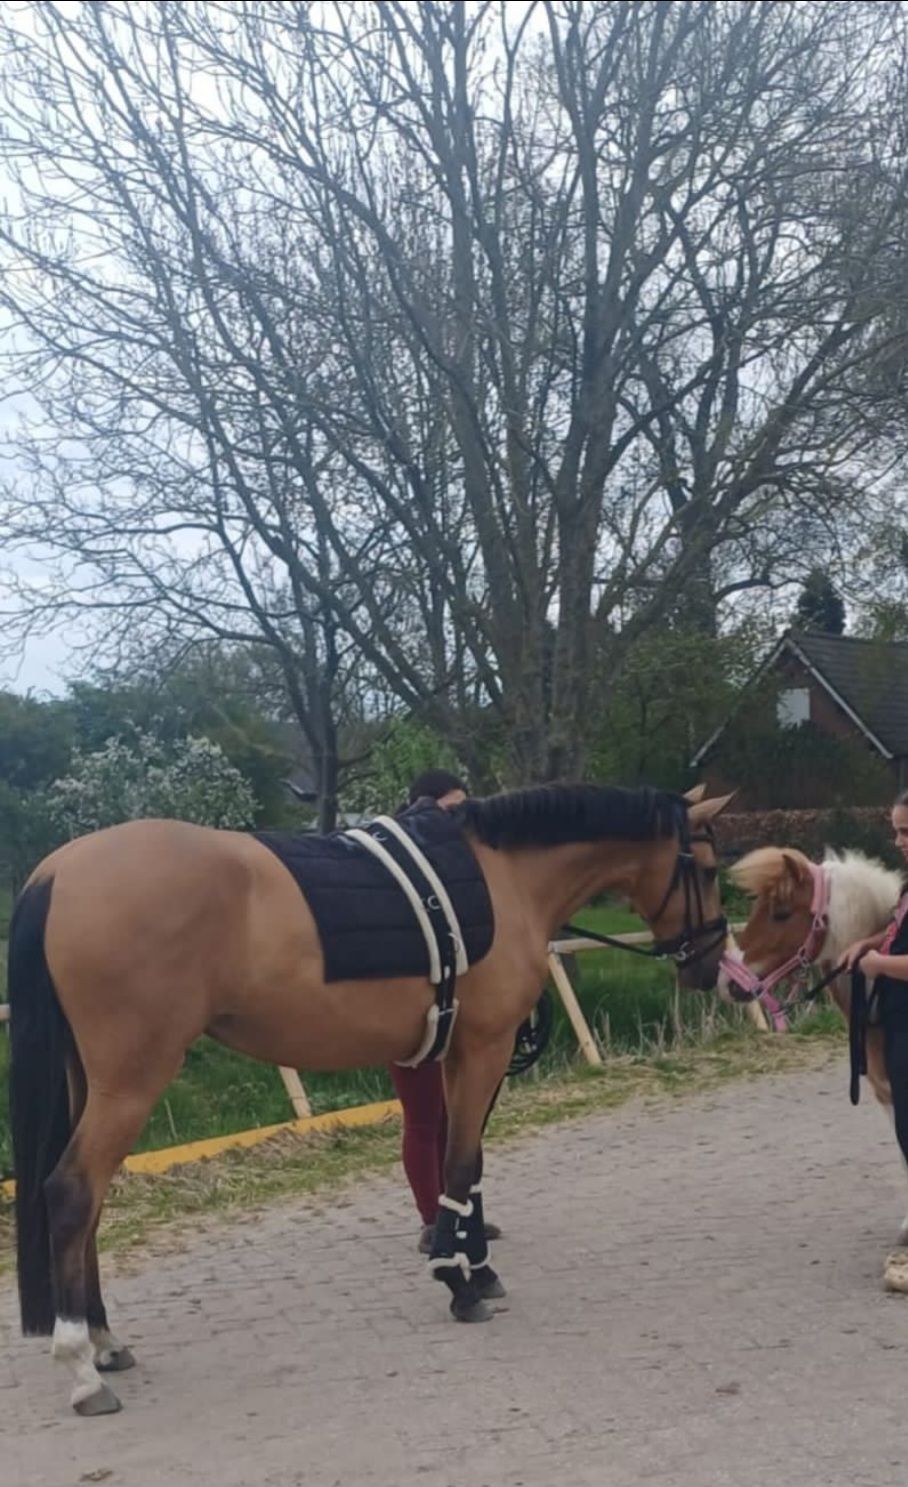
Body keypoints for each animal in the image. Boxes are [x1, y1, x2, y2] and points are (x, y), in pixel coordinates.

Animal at [8, 781, 732, 1416]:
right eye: (707, 867)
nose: (711, 965)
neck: (505, 877)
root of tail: (57, 872)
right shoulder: (487, 1048)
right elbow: (459, 1165)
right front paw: (459, 1281)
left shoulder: (456, 1055)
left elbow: (461, 1164)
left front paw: (476, 1266)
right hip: (132, 1080)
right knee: (73, 1192)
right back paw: (82, 1366)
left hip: (90, 1082)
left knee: (90, 1202)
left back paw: (106, 1340)